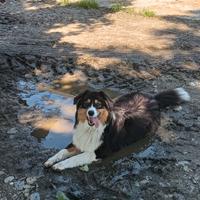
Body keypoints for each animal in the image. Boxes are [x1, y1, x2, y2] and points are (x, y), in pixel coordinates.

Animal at [44, 87, 191, 170]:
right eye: (86, 104)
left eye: (98, 105)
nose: (90, 113)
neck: (91, 129)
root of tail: (153, 98)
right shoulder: (79, 142)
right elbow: (62, 151)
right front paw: (50, 160)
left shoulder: (98, 152)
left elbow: (74, 159)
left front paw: (59, 165)